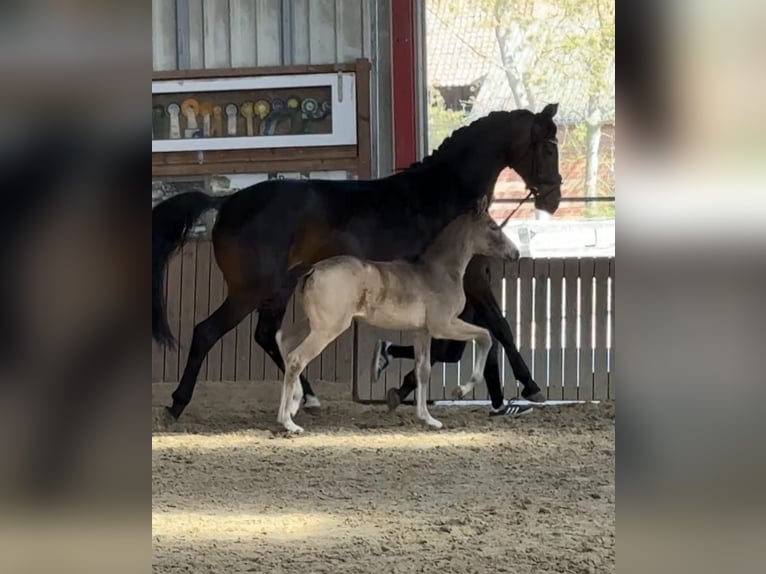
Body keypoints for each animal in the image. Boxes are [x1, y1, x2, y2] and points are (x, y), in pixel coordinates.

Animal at [275, 202, 521, 433]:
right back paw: (289, 422)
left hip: (314, 324)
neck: (439, 273)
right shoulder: (443, 325)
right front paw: (460, 390)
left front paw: (428, 419)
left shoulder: (422, 331)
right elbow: (485, 336)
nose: (516, 253)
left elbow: (423, 370)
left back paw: (292, 405)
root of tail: (313, 270)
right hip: (328, 328)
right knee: (297, 358)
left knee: (283, 339)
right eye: (493, 226)